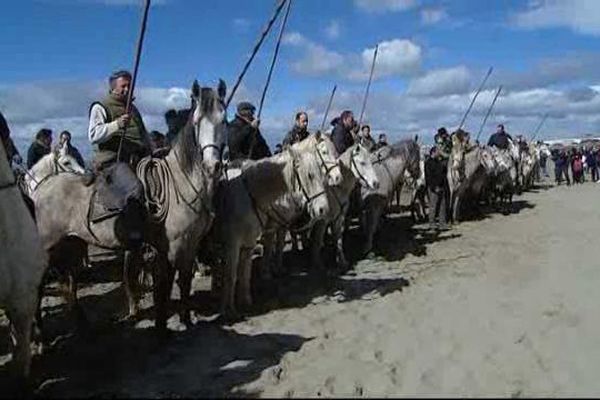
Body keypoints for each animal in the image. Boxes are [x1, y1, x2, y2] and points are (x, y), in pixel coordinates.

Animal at [211, 138, 332, 318]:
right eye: (310, 175)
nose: (323, 209)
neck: (250, 194)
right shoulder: (233, 244)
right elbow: (231, 275)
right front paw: (229, 310)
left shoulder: (249, 243)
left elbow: (244, 273)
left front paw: (245, 301)